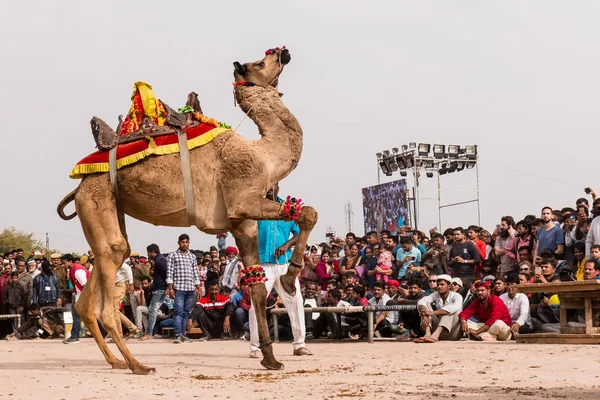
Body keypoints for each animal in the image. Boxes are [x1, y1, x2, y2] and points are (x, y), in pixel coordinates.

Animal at [57, 47, 318, 376]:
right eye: (261, 62)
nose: (284, 51)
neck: (265, 154)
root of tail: (78, 187)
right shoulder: (244, 198)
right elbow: (308, 212)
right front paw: (287, 279)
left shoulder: (241, 221)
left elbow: (257, 284)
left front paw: (270, 359)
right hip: (97, 200)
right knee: (108, 292)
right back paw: (138, 365)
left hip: (106, 209)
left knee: (103, 272)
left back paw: (116, 361)